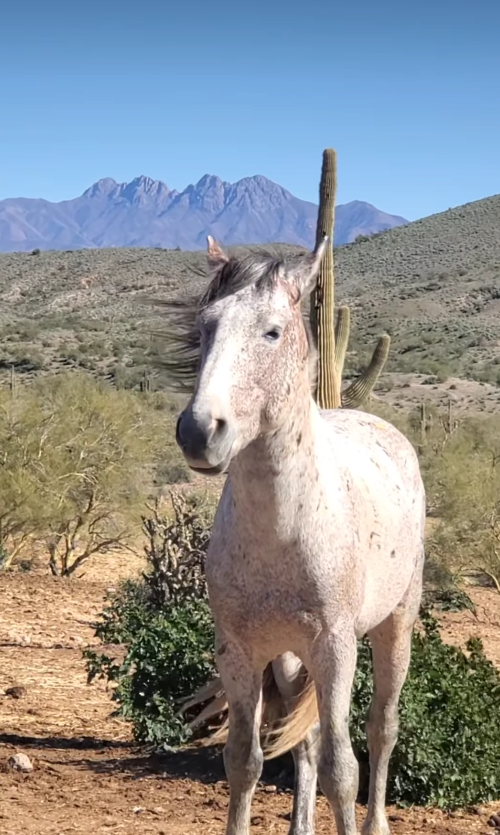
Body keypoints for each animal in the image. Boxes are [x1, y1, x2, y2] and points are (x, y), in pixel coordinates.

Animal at [170, 236, 426, 835]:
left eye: (272, 332)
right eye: (206, 326)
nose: (199, 431)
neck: (283, 536)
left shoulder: (335, 649)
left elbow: (342, 769)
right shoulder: (239, 652)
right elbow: (244, 761)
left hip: (394, 629)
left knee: (382, 728)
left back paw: (377, 823)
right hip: (290, 662)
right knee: (305, 744)